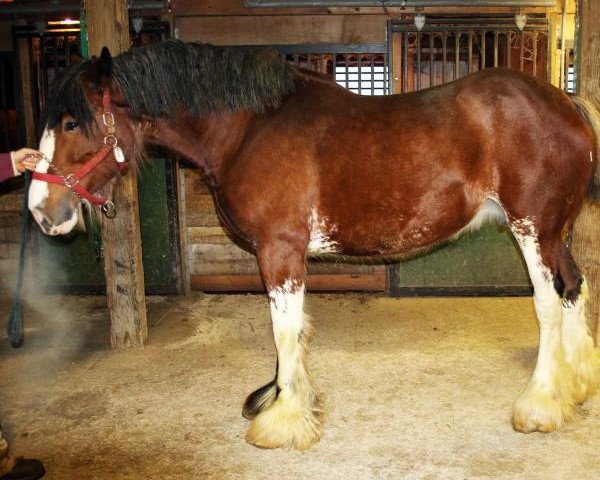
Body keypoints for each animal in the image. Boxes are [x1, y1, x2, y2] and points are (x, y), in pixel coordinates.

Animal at [28, 40, 600, 450]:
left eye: (72, 121)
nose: (40, 211)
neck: (250, 128)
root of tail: (567, 103)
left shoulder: (279, 249)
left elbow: (283, 330)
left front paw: (280, 421)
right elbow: (295, 332)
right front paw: (282, 399)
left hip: (531, 229)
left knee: (548, 304)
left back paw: (539, 406)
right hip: (554, 233)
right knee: (573, 286)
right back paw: (577, 384)